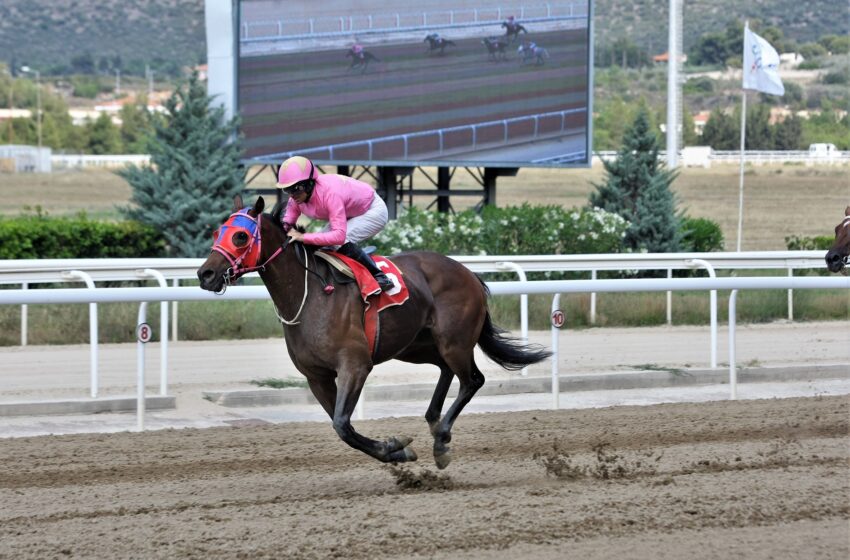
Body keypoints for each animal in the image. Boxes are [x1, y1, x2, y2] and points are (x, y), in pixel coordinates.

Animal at [195, 197, 548, 468]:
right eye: (216, 231)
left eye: (241, 236)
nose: (205, 274)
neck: (311, 295)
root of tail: (469, 273)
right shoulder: (317, 376)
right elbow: (343, 427)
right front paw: (396, 451)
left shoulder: (355, 365)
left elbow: (341, 424)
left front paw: (396, 448)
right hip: (415, 346)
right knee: (447, 371)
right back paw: (433, 421)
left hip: (454, 341)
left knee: (473, 379)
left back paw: (442, 438)